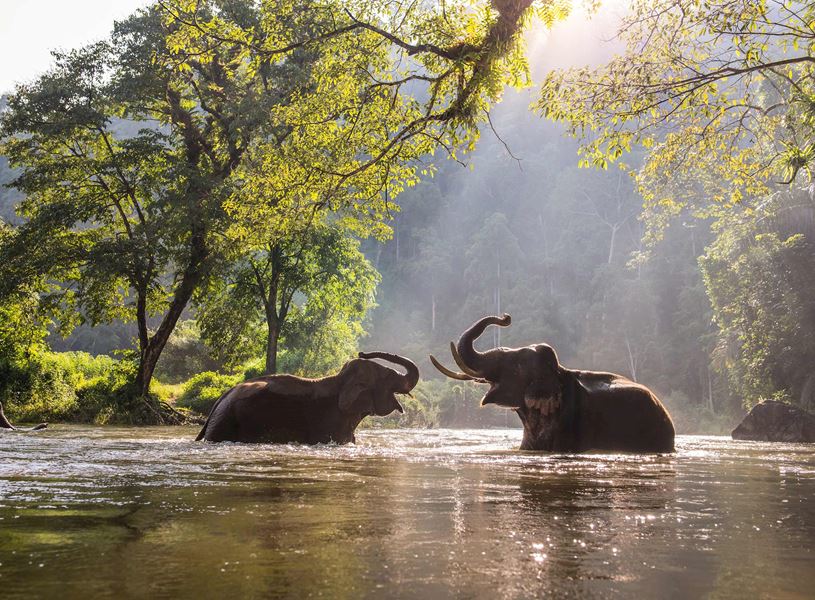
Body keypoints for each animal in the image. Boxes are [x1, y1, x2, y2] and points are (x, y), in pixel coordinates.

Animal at [196, 351, 419, 443]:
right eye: (389, 376)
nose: (362, 352)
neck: (339, 380)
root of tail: (220, 400)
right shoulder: (329, 421)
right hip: (225, 423)